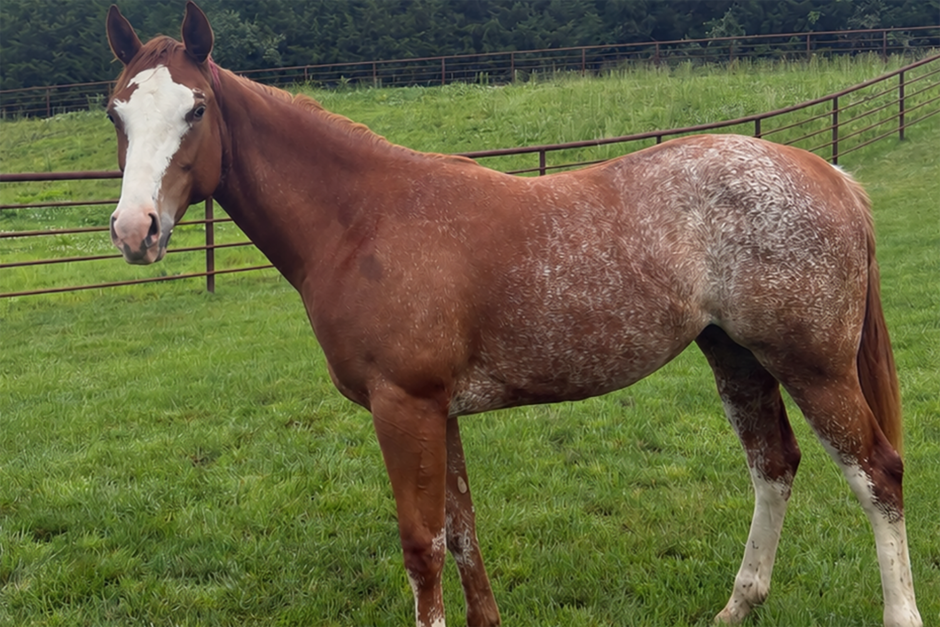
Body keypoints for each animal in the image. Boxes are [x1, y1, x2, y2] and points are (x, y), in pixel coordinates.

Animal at [104, 3, 921, 626]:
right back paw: (738, 604)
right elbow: (462, 533)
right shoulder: (438, 412)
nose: (135, 229)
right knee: (773, 465)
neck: (365, 219)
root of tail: (830, 174)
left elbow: (423, 545)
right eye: (117, 111)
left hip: (814, 367)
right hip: (737, 356)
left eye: (196, 109)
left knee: (877, 474)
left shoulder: (403, 407)